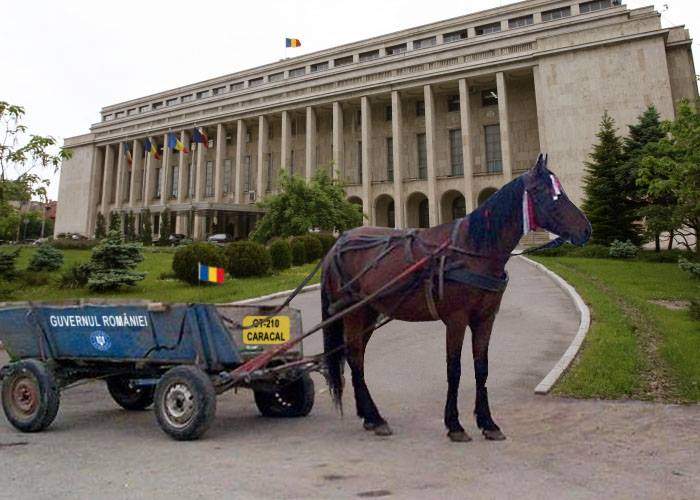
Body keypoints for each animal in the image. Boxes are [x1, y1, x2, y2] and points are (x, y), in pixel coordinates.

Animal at [322, 153, 592, 442]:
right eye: (549, 193)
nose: (586, 229)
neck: (472, 250)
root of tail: (339, 242)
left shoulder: (486, 318)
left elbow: (481, 367)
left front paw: (488, 422)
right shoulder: (456, 319)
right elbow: (454, 369)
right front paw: (454, 424)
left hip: (370, 311)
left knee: (356, 355)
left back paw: (369, 416)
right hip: (353, 311)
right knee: (354, 356)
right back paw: (375, 417)